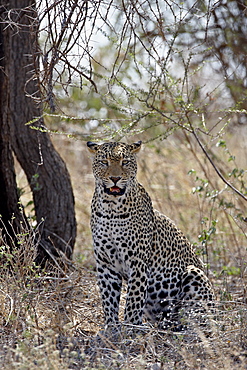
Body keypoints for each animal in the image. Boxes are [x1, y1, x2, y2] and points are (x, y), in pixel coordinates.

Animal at [87, 141, 214, 330]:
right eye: (104, 162)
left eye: (125, 162)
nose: (115, 178)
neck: (111, 208)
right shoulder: (105, 263)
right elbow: (109, 299)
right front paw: (111, 329)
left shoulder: (137, 262)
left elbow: (133, 300)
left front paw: (130, 329)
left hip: (194, 273)